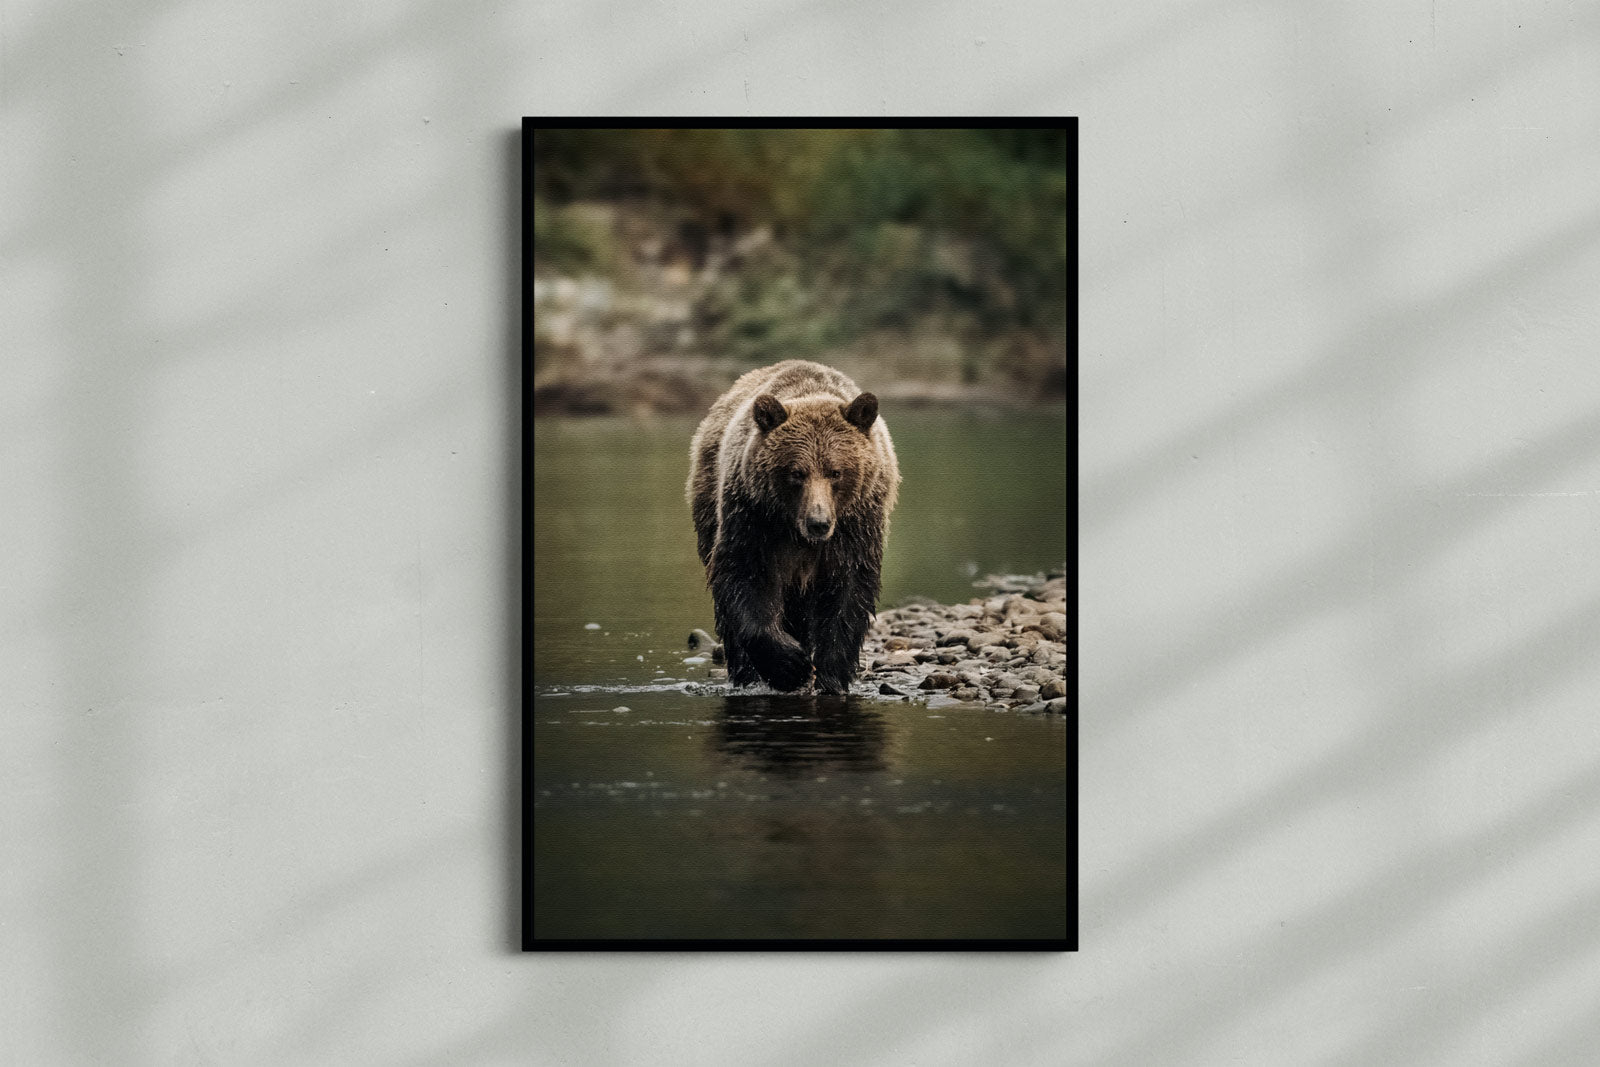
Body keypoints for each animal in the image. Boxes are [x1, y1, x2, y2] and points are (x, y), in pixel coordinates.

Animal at [687, 360, 900, 694]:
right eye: (796, 472)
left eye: (836, 472)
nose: (818, 523)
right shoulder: (753, 517)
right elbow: (744, 576)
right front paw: (789, 665)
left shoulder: (855, 527)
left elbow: (848, 593)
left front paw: (831, 676)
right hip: (709, 497)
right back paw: (747, 674)